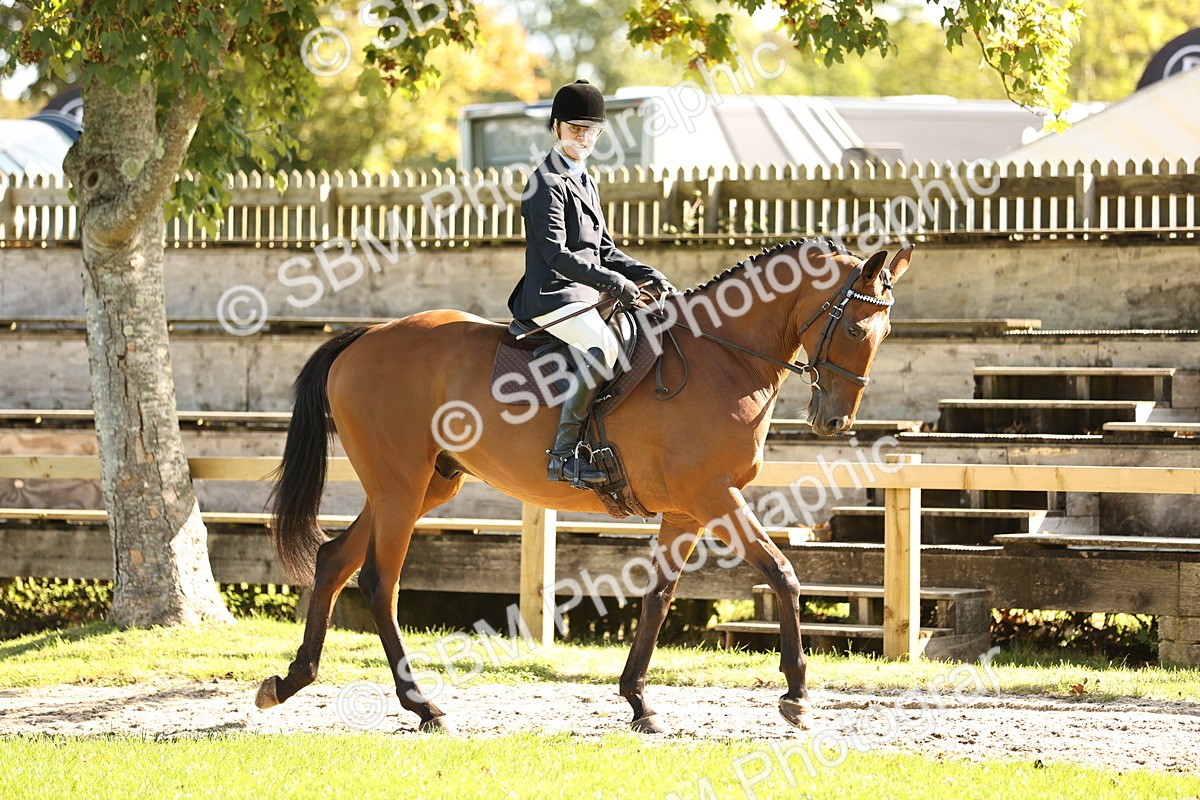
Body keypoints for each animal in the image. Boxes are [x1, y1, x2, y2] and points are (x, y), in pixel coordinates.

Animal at [254, 238, 915, 733]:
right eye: (856, 329)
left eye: (883, 333)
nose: (834, 420)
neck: (722, 360)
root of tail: (364, 337)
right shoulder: (714, 499)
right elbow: (782, 571)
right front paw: (797, 696)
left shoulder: (686, 512)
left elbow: (657, 598)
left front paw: (639, 701)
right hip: (400, 488)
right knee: (378, 583)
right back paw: (423, 706)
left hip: (421, 488)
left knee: (334, 560)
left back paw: (289, 682)